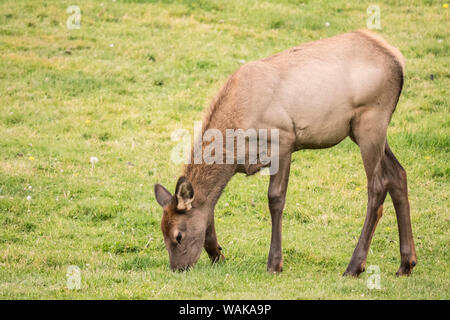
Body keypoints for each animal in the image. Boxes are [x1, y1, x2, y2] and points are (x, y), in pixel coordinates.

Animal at [155, 30, 418, 276]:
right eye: (162, 233)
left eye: (178, 236)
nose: (177, 268)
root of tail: (398, 59)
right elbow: (211, 204)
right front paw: (217, 253)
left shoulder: (284, 140)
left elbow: (275, 199)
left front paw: (274, 263)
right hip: (363, 130)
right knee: (398, 174)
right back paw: (406, 263)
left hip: (370, 120)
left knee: (377, 185)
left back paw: (354, 266)